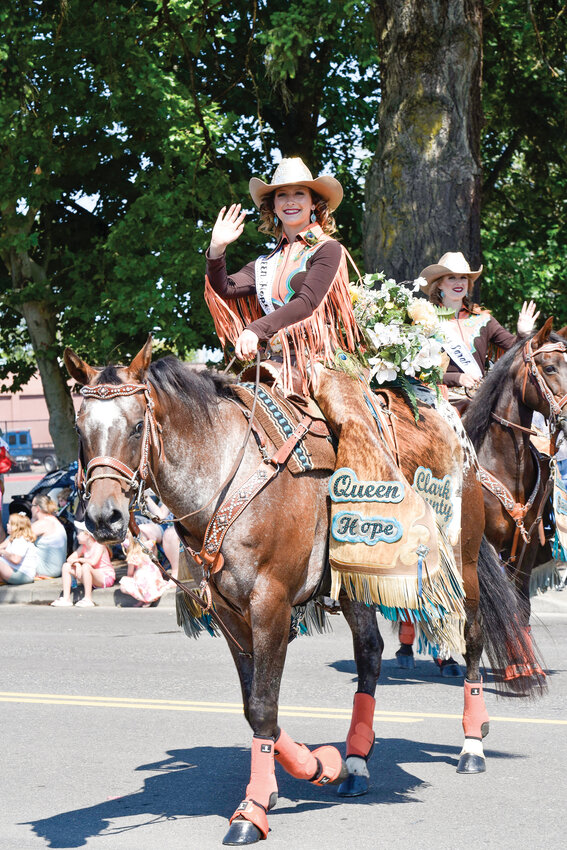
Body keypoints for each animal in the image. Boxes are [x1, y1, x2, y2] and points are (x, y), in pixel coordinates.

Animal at [64, 338, 544, 840]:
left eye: (138, 425)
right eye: (80, 428)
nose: (103, 518)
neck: (226, 474)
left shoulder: (269, 604)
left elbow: (262, 707)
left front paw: (252, 810)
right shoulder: (230, 612)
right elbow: (256, 707)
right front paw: (318, 766)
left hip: (463, 562)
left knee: (471, 639)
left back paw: (472, 744)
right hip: (354, 585)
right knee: (370, 656)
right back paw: (355, 763)